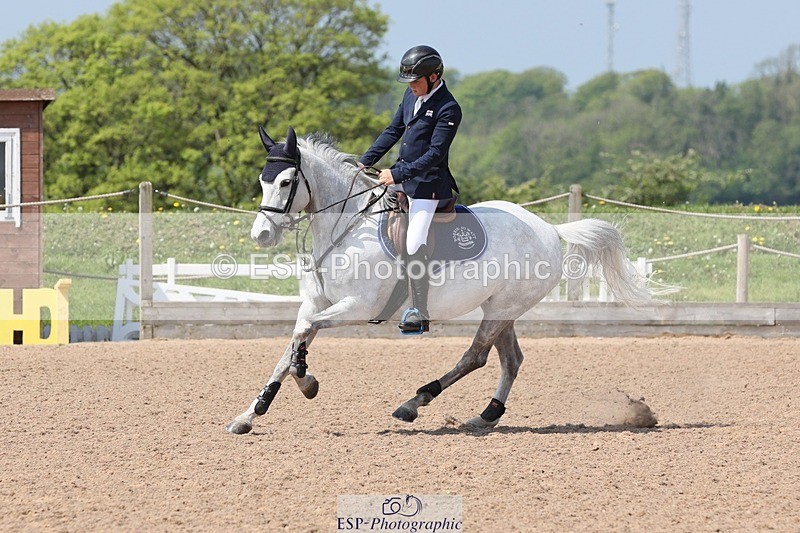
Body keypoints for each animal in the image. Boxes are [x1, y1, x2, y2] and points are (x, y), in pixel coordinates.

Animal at [225, 126, 652, 434]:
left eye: (285, 182)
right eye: (262, 180)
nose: (262, 235)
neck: (347, 228)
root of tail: (548, 228)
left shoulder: (358, 307)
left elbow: (302, 336)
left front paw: (307, 382)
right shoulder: (318, 304)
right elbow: (291, 344)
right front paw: (251, 413)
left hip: (502, 308)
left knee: (475, 357)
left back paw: (414, 403)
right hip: (503, 308)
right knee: (510, 360)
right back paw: (485, 416)